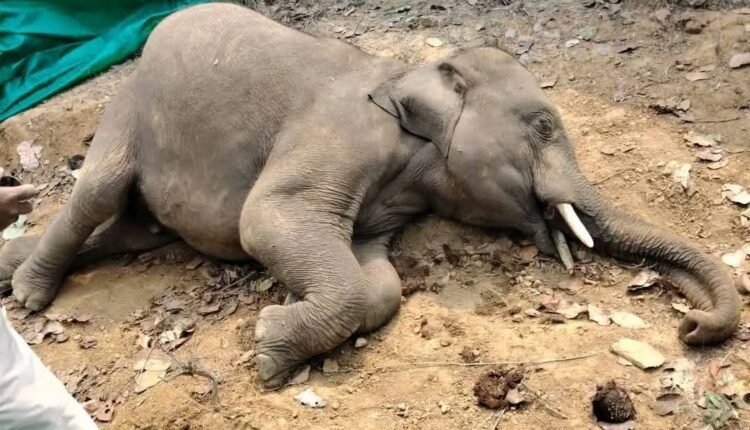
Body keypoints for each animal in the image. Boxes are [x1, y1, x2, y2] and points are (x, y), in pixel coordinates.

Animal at [0, 3, 740, 387]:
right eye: (542, 126)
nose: (690, 325)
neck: (412, 71)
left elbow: (377, 280)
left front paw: (282, 334)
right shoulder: (338, 134)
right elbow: (265, 221)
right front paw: (269, 355)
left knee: (133, 228)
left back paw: (17, 268)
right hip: (128, 106)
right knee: (98, 195)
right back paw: (31, 295)